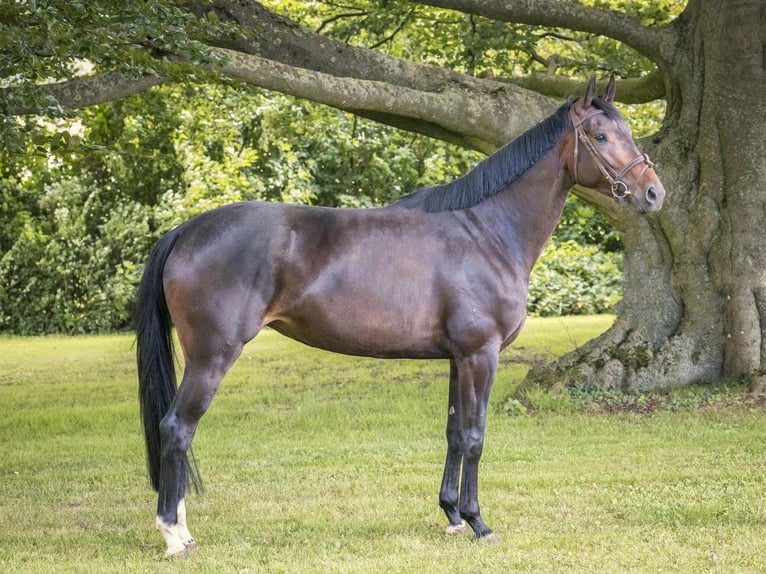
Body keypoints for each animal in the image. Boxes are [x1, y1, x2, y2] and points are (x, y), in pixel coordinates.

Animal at [136, 76, 664, 560]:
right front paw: (479, 522)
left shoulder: (457, 359)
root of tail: (187, 230)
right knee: (177, 428)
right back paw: (174, 536)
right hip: (212, 356)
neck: (488, 233)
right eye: (600, 136)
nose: (654, 193)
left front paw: (452, 515)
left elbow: (454, 433)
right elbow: (475, 436)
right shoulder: (481, 355)